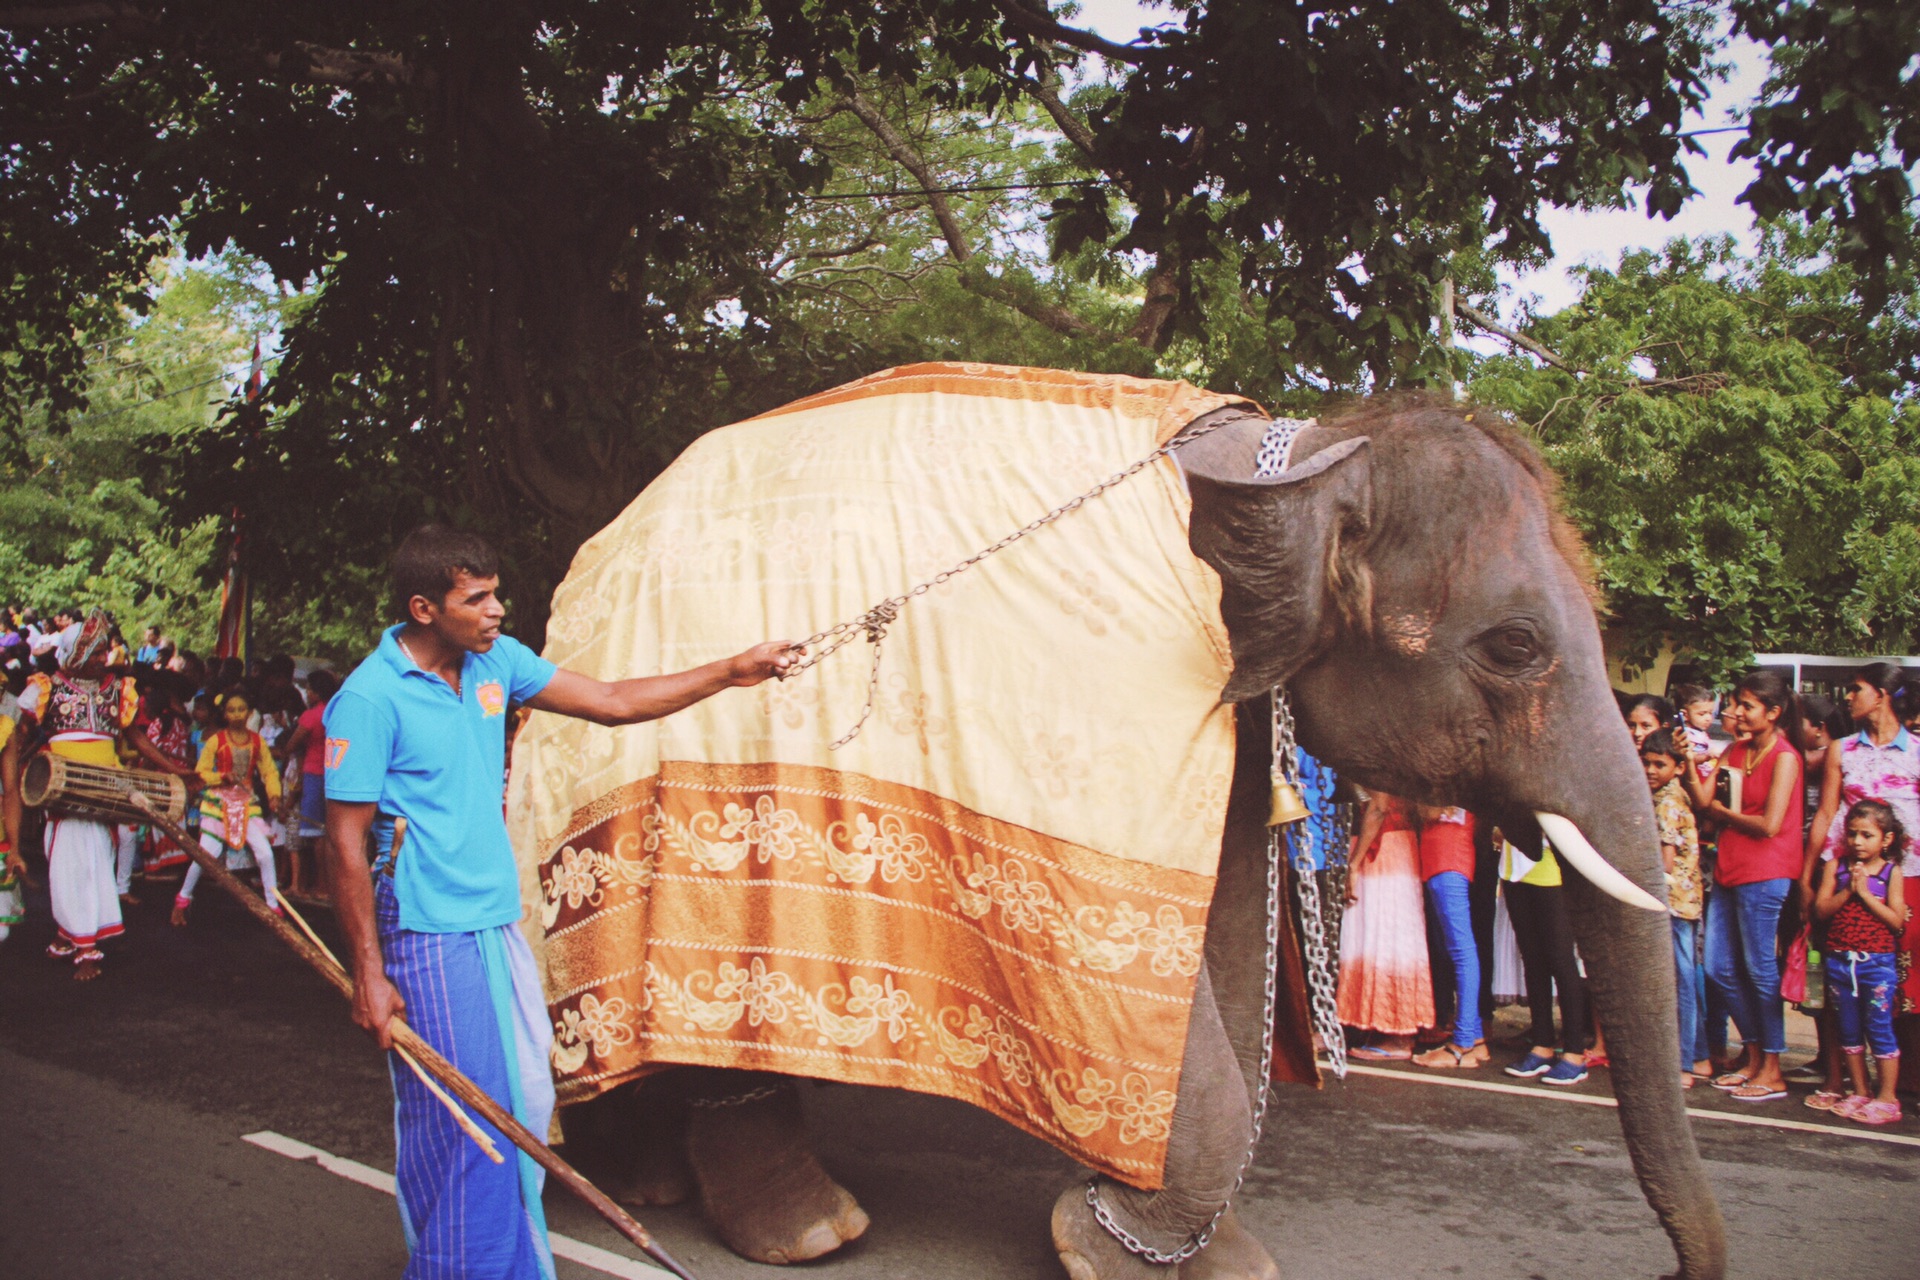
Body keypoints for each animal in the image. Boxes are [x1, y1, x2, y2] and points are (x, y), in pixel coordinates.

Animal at [560, 391, 1735, 1280]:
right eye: (1514, 645)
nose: (1673, 1269)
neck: (1304, 454)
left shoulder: (1233, 729)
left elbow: (1222, 932)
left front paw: (1218, 1263)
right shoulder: (1072, 711)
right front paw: (1106, 1250)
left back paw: (651, 1180)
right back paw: (805, 1229)